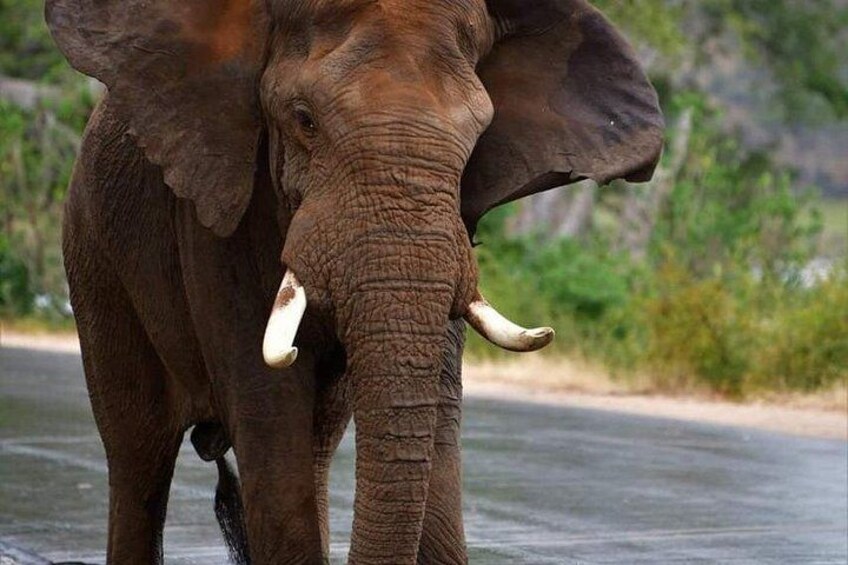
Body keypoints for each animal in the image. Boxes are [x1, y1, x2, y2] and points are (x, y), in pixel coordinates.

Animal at [45, 0, 663, 563]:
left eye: (478, 135)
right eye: (304, 119)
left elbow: (436, 430)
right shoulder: (217, 219)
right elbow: (270, 430)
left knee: (312, 452)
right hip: (93, 258)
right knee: (138, 459)